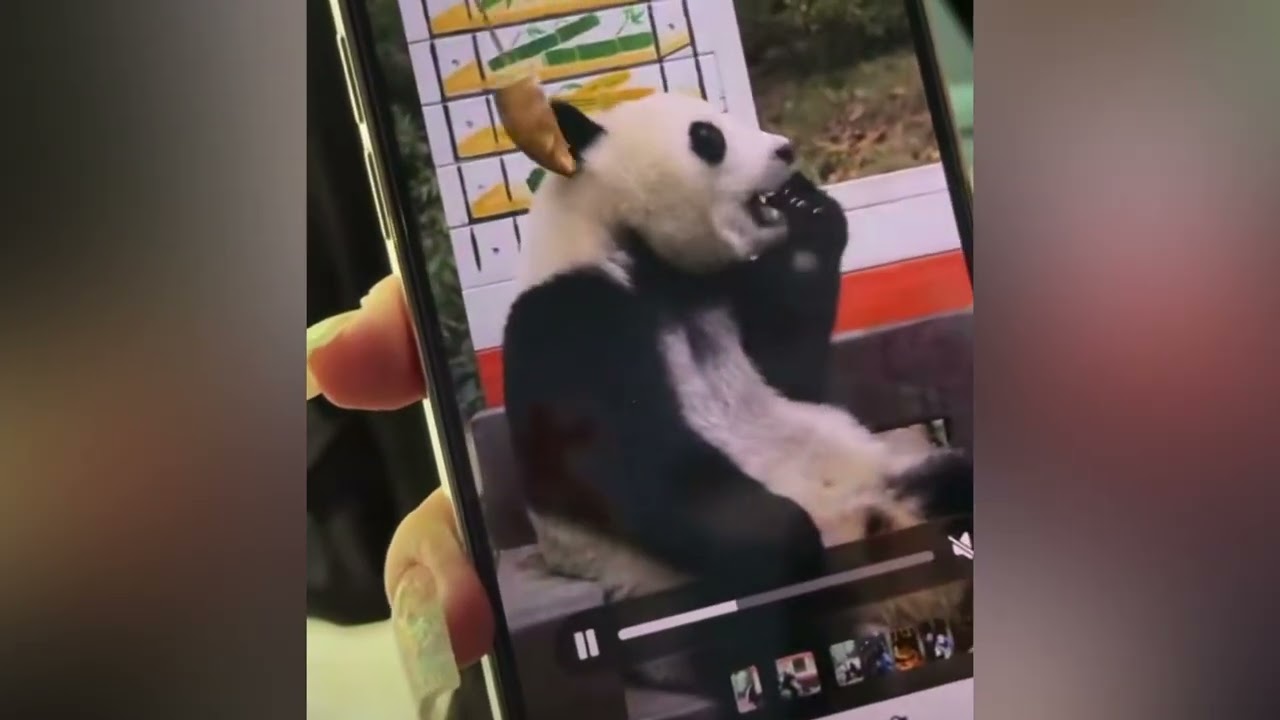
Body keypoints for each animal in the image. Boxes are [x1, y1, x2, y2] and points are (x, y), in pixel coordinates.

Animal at [500, 92, 970, 694]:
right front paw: (782, 538)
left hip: (893, 481)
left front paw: (808, 210)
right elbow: (632, 462)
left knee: (954, 480)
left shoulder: (717, 293)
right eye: (707, 136)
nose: (786, 150)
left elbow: (787, 369)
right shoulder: (571, 320)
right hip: (665, 607)